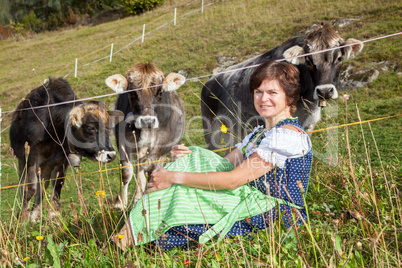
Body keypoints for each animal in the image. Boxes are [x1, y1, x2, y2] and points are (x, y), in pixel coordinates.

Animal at [10, 77, 121, 220]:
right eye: (90, 128)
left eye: (108, 127)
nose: (111, 154)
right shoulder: (32, 156)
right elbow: (30, 188)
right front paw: (22, 217)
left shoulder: (62, 159)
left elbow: (57, 184)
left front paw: (54, 215)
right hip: (22, 159)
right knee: (24, 185)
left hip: (47, 165)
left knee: (43, 185)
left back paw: (36, 214)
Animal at [103, 61, 185, 208]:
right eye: (132, 92)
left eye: (160, 92)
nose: (147, 121)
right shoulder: (123, 144)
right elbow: (126, 172)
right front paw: (120, 203)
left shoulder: (159, 149)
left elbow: (151, 173)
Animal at [201, 24, 364, 151]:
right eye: (309, 60)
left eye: (339, 58)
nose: (324, 91)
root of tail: (211, 79)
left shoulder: (309, 125)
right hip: (210, 129)